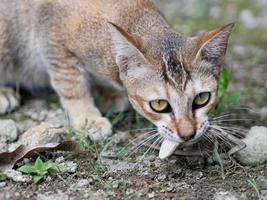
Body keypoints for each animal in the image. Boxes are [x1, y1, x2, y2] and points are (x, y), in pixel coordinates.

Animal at [0, 0, 233, 143]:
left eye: (202, 98)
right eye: (159, 105)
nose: (188, 134)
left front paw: (109, 93)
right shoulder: (53, 41)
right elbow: (72, 87)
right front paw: (88, 119)